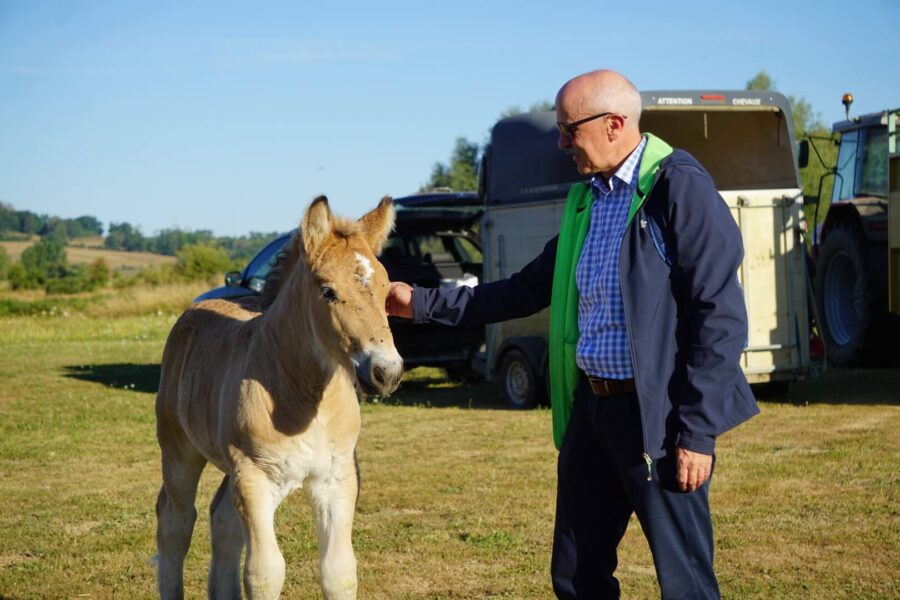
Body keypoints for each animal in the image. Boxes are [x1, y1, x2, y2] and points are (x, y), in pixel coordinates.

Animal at [156, 196, 402, 596]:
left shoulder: (337, 479)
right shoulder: (254, 478)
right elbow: (264, 572)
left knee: (221, 519)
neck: (304, 396)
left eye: (385, 290)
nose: (386, 372)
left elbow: (339, 570)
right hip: (178, 448)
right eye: (328, 291)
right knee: (175, 521)